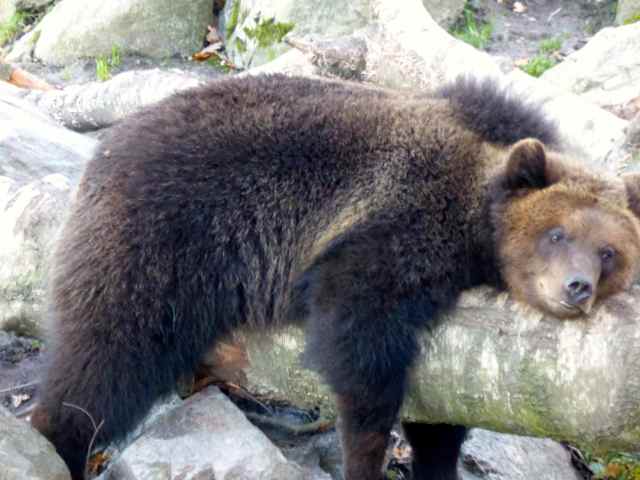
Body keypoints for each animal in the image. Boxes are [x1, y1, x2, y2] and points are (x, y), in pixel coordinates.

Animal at [31, 74, 640, 480]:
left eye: (608, 251)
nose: (577, 287)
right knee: (105, 360)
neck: (474, 223)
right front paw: (367, 454)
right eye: (557, 234)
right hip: (159, 245)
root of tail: (104, 151)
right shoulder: (401, 224)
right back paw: (60, 439)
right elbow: (359, 332)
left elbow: (442, 413)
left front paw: (436, 459)